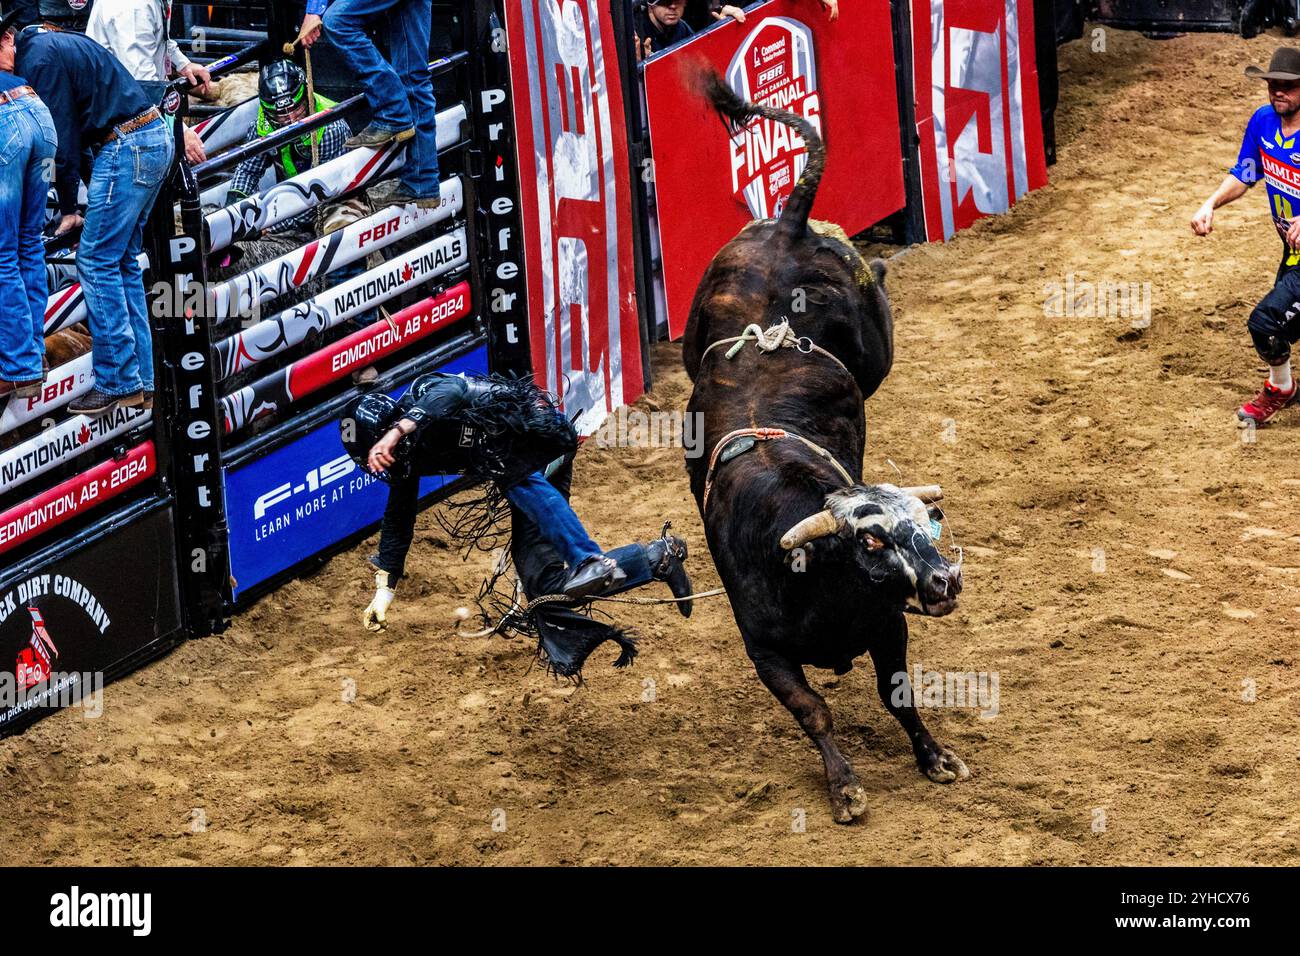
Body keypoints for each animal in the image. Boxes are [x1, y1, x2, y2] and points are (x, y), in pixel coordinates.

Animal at [686, 74, 972, 822]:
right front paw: (843, 785)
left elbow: (896, 694)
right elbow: (813, 710)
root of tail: (787, 227)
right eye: (871, 540)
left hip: (876, 347)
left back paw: (881, 263)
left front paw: (935, 757)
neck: (813, 574)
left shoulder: (888, 623)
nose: (945, 580)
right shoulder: (765, 651)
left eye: (927, 522)